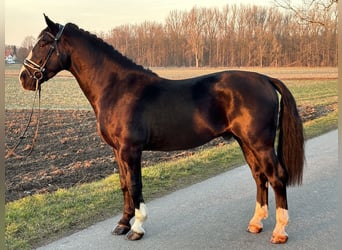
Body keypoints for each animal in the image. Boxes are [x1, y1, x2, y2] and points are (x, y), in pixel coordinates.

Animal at [18, 14, 304, 243]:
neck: (117, 88)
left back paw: (280, 231)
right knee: (259, 176)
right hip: (244, 142)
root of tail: (265, 79)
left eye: (43, 43)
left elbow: (135, 185)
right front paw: (122, 225)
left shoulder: (131, 150)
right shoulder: (117, 151)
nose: (23, 78)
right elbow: (124, 185)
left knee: (276, 176)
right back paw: (256, 223)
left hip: (260, 143)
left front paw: (137, 228)